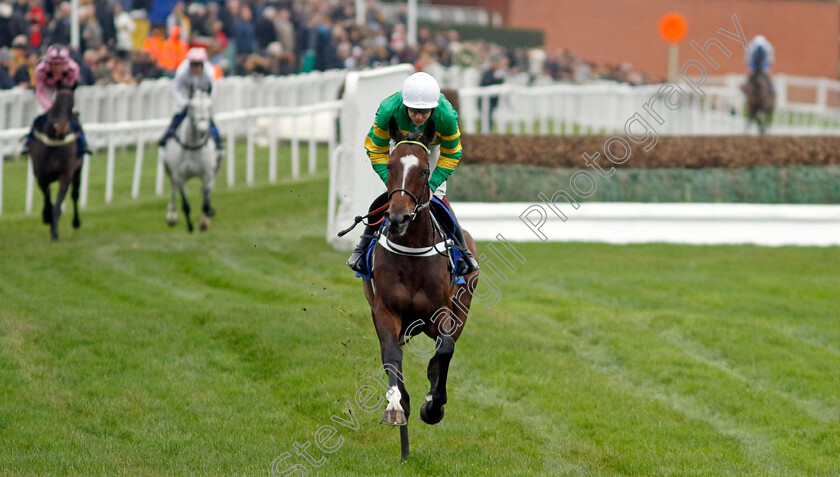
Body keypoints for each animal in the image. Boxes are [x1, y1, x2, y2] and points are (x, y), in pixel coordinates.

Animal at [30, 88, 83, 240]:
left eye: (72, 102)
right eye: (56, 102)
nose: (61, 127)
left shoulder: (66, 174)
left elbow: (58, 206)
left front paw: (54, 233)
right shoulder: (41, 175)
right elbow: (48, 200)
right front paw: (46, 217)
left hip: (78, 170)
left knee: (75, 194)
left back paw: (76, 222)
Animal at [161, 89, 220, 232]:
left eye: (209, 106)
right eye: (192, 107)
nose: (202, 130)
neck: (192, 145)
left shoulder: (208, 174)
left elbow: (205, 200)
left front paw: (204, 222)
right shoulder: (179, 175)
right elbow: (185, 204)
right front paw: (189, 226)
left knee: (206, 191)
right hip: (169, 169)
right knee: (174, 187)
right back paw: (171, 215)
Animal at [360, 115, 480, 458]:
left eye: (426, 170)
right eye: (390, 165)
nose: (398, 217)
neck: (412, 248)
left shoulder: (441, 312)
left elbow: (446, 349)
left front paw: (433, 407)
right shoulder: (385, 310)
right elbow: (391, 354)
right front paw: (397, 407)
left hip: (462, 308)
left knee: (443, 352)